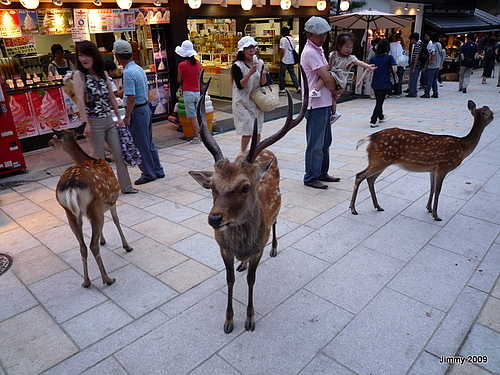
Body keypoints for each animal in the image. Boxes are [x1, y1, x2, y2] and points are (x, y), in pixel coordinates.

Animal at [48, 125, 133, 288]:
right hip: (94, 205)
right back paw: (107, 279)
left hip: (70, 213)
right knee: (92, 245)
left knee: (82, 246)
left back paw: (86, 281)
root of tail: (71, 188)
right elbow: (116, 220)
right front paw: (127, 246)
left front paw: (103, 239)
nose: (48, 142)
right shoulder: (111, 202)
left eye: (55, 137)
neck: (88, 159)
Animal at [189, 69, 308, 334]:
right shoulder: (222, 248)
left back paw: (275, 247)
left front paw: (250, 319)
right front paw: (228, 320)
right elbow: (230, 279)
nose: (214, 218)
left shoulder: (257, 250)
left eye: (245, 187)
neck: (241, 246)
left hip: (277, 207)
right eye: (213, 186)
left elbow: (253, 280)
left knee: (276, 223)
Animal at [350, 101, 494, 222]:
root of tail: (371, 137)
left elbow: (431, 187)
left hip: (380, 161)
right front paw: (436, 215)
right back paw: (353, 209)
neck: (463, 148)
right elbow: (438, 190)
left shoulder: (432, 169)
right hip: (379, 160)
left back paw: (378, 206)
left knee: (370, 179)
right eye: (489, 113)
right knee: (359, 176)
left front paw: (429, 208)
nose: (494, 116)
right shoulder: (443, 166)